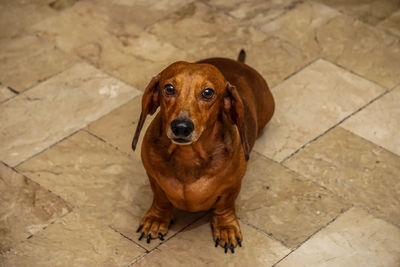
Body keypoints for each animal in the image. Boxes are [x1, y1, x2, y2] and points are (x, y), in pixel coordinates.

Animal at [132, 49, 276, 253]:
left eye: (208, 93)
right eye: (169, 88)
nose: (181, 127)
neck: (188, 155)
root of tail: (240, 63)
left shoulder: (231, 186)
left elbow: (225, 206)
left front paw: (226, 228)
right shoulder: (154, 179)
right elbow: (160, 199)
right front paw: (156, 220)